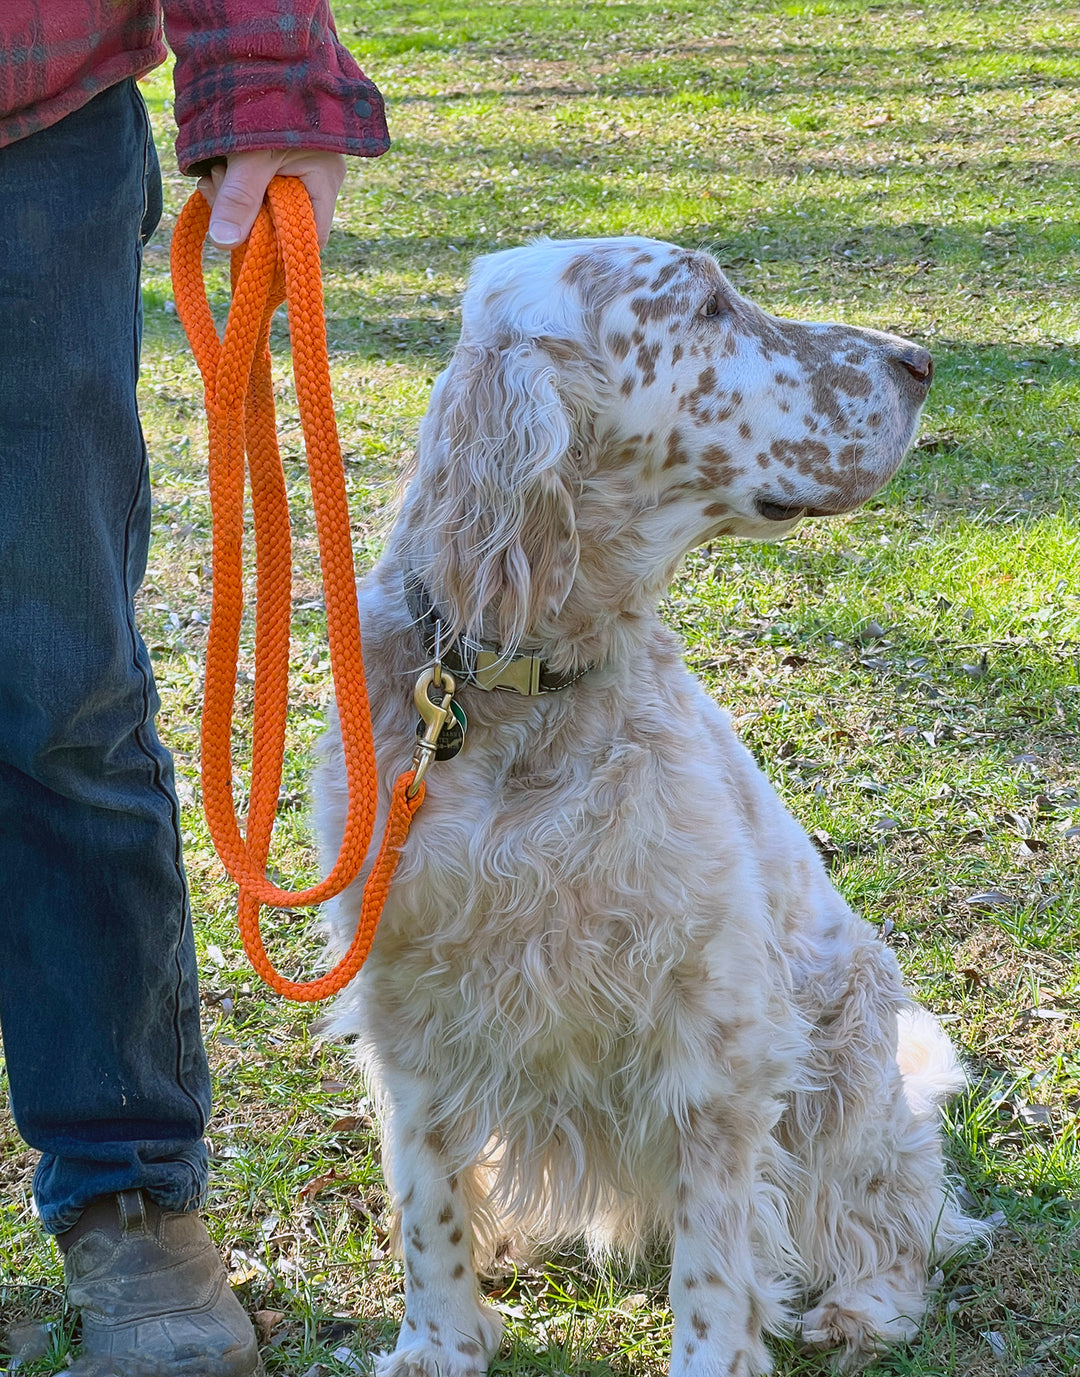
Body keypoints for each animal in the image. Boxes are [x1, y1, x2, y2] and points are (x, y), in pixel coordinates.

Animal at [316, 239, 991, 1377]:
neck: (524, 703)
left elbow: (717, 1258)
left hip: (849, 1052)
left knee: (899, 1204)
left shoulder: (717, 1033)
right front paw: (438, 1341)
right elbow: (426, 1195)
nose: (919, 361)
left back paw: (865, 1302)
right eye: (708, 306)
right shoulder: (406, 1006)